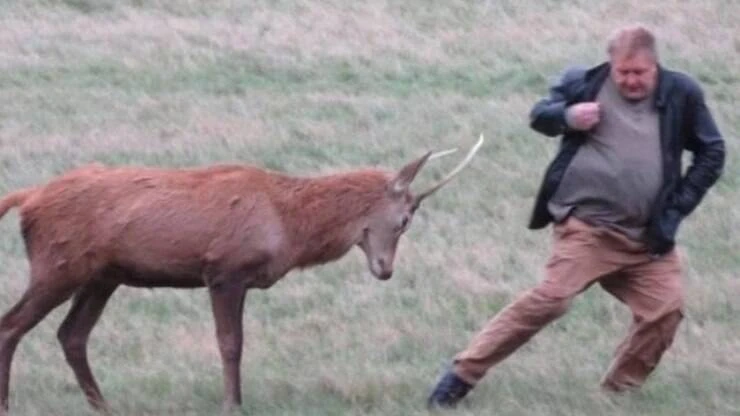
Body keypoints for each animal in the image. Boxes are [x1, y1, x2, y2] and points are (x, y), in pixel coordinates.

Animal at [0, 135, 484, 414]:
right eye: (404, 220)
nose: (386, 269)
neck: (288, 224)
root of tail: (28, 199)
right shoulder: (224, 270)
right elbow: (231, 344)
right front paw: (233, 403)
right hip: (57, 264)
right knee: (12, 325)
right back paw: (9, 402)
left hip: (103, 276)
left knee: (71, 335)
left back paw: (103, 406)